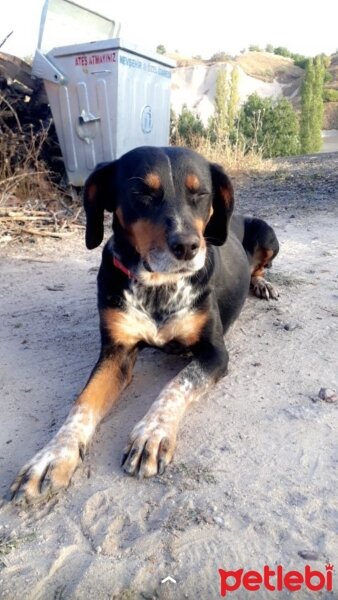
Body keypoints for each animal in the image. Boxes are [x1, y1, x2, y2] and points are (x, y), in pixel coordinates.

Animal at [9, 146, 278, 506]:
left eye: (200, 194)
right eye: (141, 193)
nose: (187, 247)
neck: (157, 286)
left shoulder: (214, 354)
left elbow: (176, 386)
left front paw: (152, 433)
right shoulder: (116, 354)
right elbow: (83, 403)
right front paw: (52, 455)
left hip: (267, 234)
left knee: (258, 266)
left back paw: (261, 284)